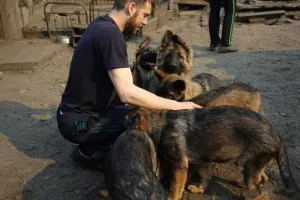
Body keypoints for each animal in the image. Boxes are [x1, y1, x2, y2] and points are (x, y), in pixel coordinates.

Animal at [124, 107, 298, 200]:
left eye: (122, 121)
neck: (158, 123)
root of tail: (275, 133)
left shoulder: (179, 165)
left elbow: (175, 187)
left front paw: (172, 197)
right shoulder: (201, 161)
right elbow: (205, 176)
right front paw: (199, 189)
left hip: (246, 163)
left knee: (260, 186)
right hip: (250, 163)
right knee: (262, 177)